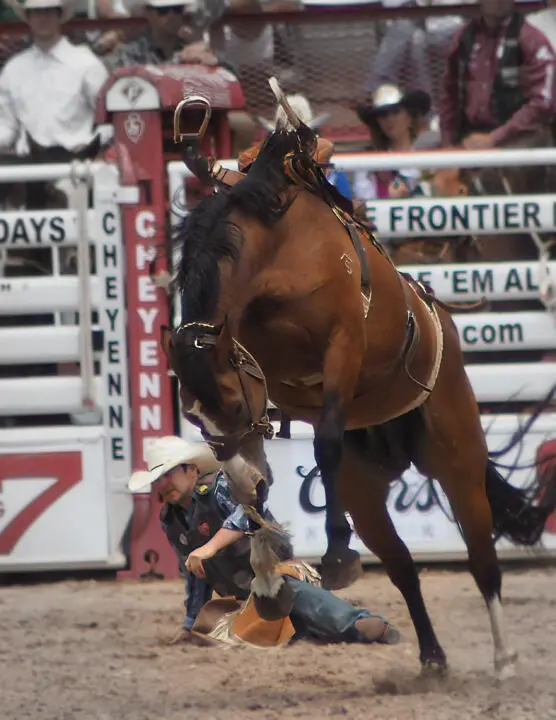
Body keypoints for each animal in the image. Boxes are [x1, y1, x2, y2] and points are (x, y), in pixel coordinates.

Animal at [160, 87, 556, 676]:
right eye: (191, 414)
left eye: (230, 402)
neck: (278, 250)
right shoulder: (270, 381)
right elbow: (254, 485)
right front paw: (267, 569)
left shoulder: (343, 346)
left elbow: (323, 440)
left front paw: (325, 553)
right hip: (367, 492)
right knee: (403, 566)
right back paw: (432, 657)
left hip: (458, 460)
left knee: (482, 560)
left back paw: (504, 657)